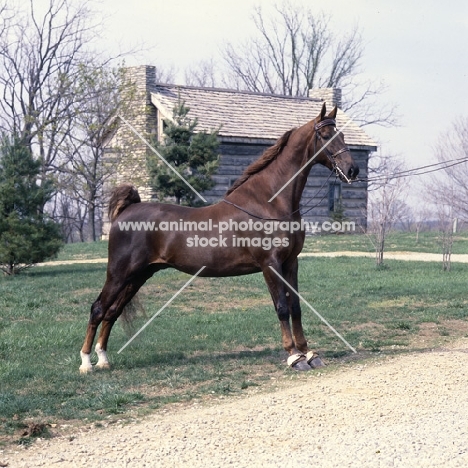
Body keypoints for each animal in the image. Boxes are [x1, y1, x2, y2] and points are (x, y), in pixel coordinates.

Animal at [79, 103, 358, 372]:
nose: (352, 169)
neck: (268, 203)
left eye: (342, 135)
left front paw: (309, 353)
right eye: (325, 136)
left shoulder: (291, 262)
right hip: (119, 273)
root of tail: (127, 210)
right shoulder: (270, 265)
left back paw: (103, 359)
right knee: (98, 309)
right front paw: (293, 356)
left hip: (138, 275)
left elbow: (296, 307)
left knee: (112, 312)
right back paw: (86, 363)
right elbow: (281, 307)